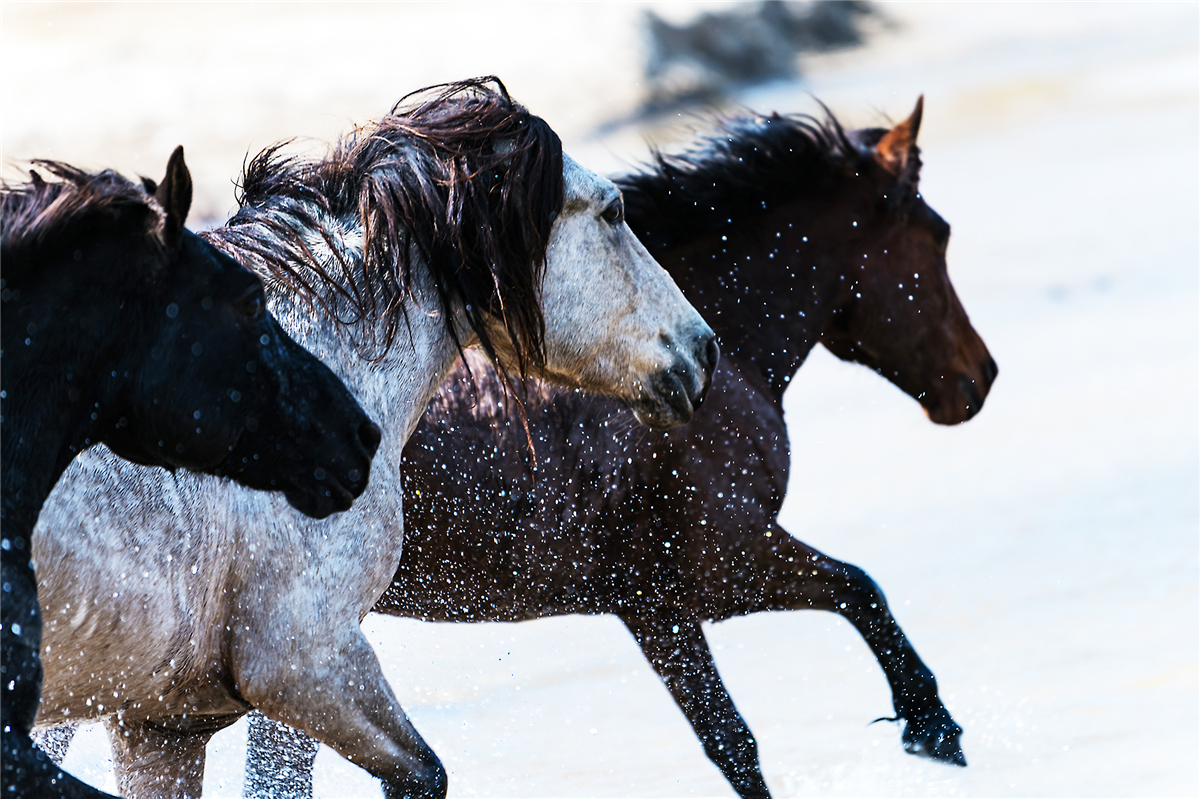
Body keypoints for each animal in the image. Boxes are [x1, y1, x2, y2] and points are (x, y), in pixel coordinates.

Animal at [243, 96, 993, 791]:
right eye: (939, 234)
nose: (980, 378)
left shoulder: (655, 604)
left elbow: (742, 723)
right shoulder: (715, 572)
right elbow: (849, 602)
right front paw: (933, 726)